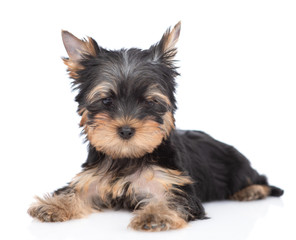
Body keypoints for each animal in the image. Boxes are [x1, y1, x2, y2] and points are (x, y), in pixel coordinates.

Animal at [28, 22, 284, 231]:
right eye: (107, 101)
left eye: (150, 102)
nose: (126, 130)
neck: (127, 158)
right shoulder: (91, 179)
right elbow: (75, 191)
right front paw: (54, 204)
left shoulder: (175, 184)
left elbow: (172, 200)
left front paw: (155, 215)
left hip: (237, 166)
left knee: (258, 178)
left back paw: (252, 190)